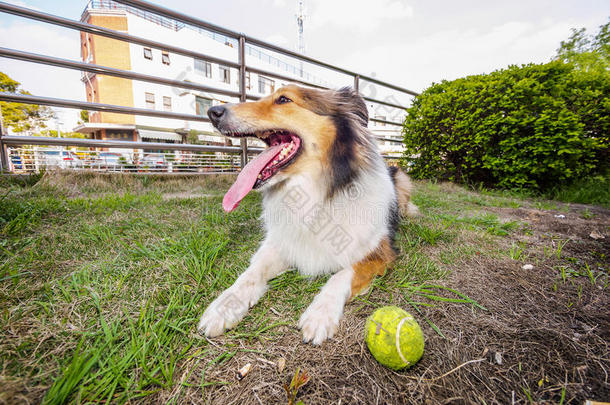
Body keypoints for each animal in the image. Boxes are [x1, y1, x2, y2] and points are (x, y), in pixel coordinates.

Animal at [197, 85, 416, 344]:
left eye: (283, 99)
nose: (213, 112)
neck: (314, 192)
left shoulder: (380, 251)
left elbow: (344, 273)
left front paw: (320, 313)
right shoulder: (282, 242)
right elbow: (251, 272)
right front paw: (224, 306)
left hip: (401, 177)